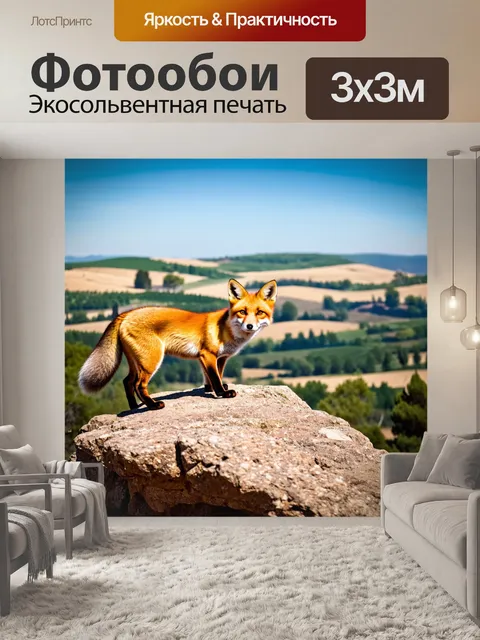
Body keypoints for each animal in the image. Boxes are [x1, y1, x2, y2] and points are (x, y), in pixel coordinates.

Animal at [78, 279, 277, 411]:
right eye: (242, 311)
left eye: (259, 312)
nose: (250, 326)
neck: (226, 328)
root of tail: (127, 313)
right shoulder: (207, 354)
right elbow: (214, 377)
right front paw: (222, 393)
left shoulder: (218, 358)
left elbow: (214, 377)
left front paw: (213, 389)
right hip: (151, 361)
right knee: (138, 384)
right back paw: (152, 405)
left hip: (136, 361)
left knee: (127, 381)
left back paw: (134, 407)